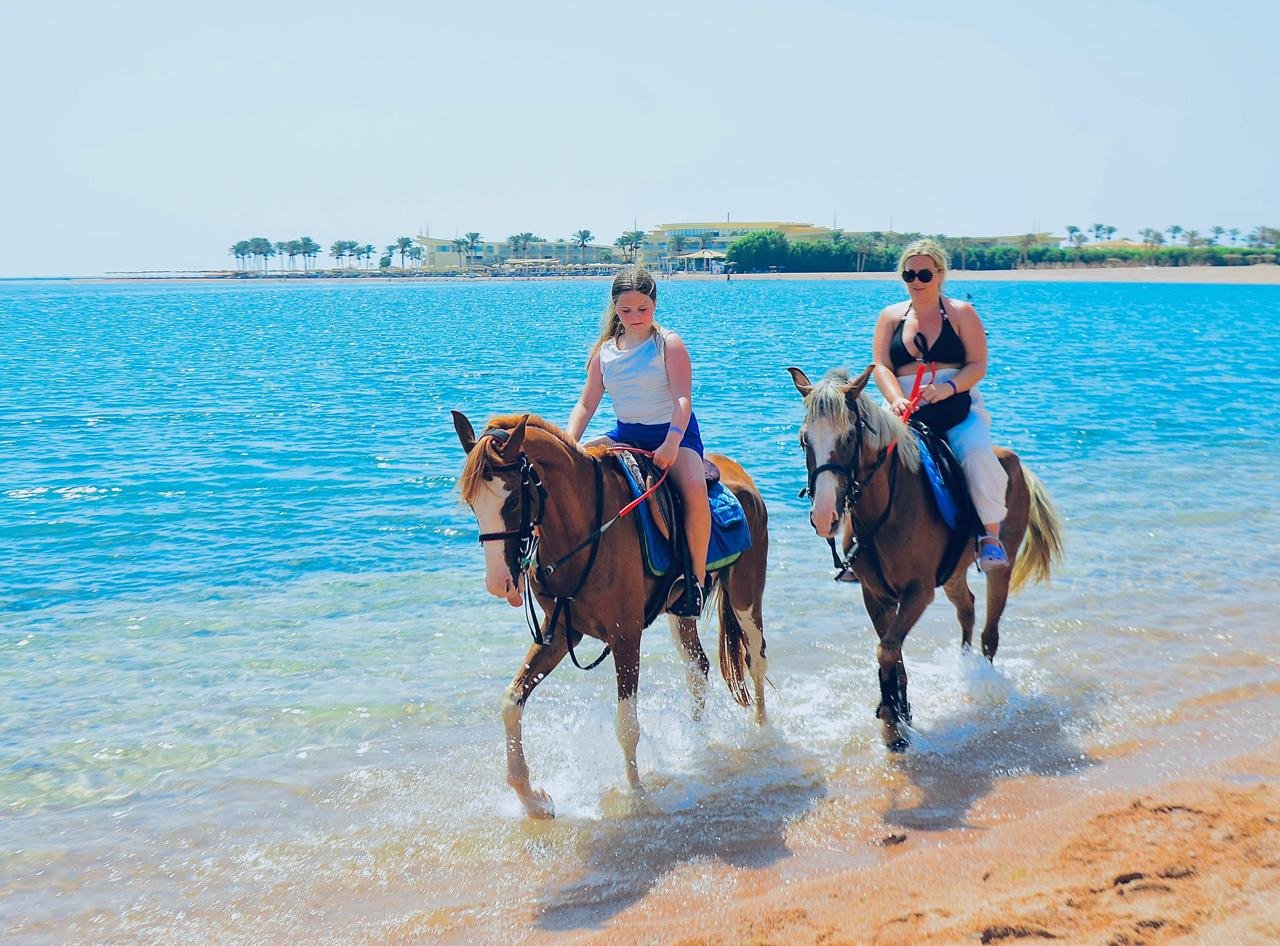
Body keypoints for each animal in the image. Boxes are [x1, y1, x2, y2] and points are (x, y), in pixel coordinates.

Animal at [452, 410, 770, 818]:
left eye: (512, 503)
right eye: (473, 504)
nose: (498, 583)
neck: (585, 529)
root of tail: (742, 477)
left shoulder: (625, 636)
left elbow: (627, 724)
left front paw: (636, 794)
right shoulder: (560, 633)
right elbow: (511, 702)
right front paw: (533, 799)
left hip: (747, 596)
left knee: (756, 659)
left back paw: (763, 733)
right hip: (681, 611)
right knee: (697, 668)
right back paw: (698, 744)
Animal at [788, 366, 1063, 750]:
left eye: (848, 438)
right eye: (805, 440)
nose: (824, 515)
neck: (885, 507)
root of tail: (1015, 462)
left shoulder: (917, 593)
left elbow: (887, 649)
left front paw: (892, 722)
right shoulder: (876, 595)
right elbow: (893, 652)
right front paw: (900, 711)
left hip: (1001, 569)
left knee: (990, 632)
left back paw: (982, 682)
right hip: (953, 575)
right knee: (968, 609)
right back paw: (962, 667)